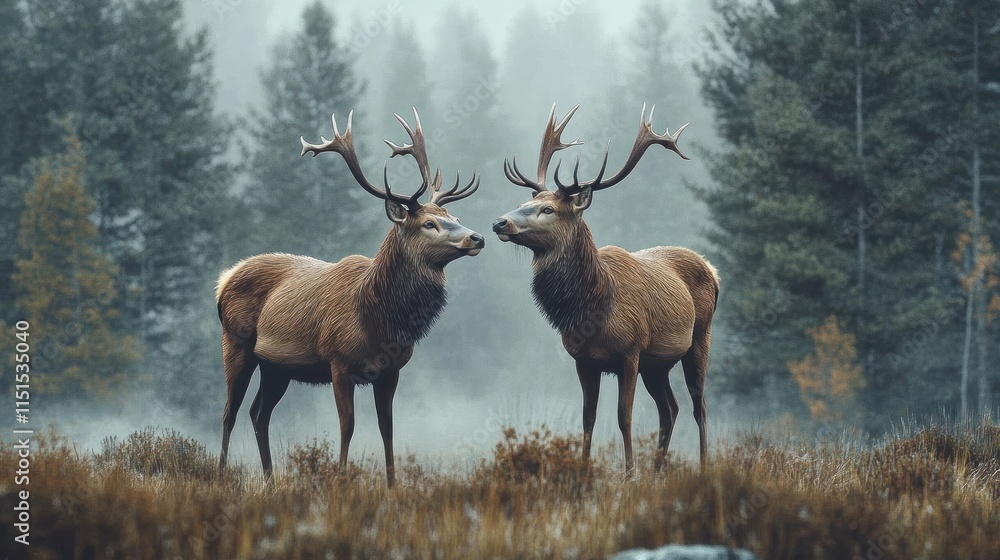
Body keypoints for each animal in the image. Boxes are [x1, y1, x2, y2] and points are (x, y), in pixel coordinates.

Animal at [216, 109, 484, 485]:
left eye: (454, 217)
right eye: (429, 224)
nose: (477, 237)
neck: (380, 318)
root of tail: (224, 279)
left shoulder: (390, 370)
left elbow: (387, 428)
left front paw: (392, 485)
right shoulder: (338, 362)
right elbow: (348, 426)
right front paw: (340, 481)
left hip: (276, 366)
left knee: (258, 413)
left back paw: (270, 480)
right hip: (236, 342)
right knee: (229, 411)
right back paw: (221, 475)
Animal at [492, 104, 718, 473]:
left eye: (548, 209)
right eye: (526, 203)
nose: (500, 222)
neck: (592, 309)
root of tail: (713, 270)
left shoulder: (630, 352)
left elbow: (623, 417)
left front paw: (629, 473)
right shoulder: (584, 359)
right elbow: (588, 418)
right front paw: (584, 472)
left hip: (699, 337)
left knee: (699, 405)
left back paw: (702, 466)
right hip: (657, 364)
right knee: (670, 409)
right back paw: (658, 470)